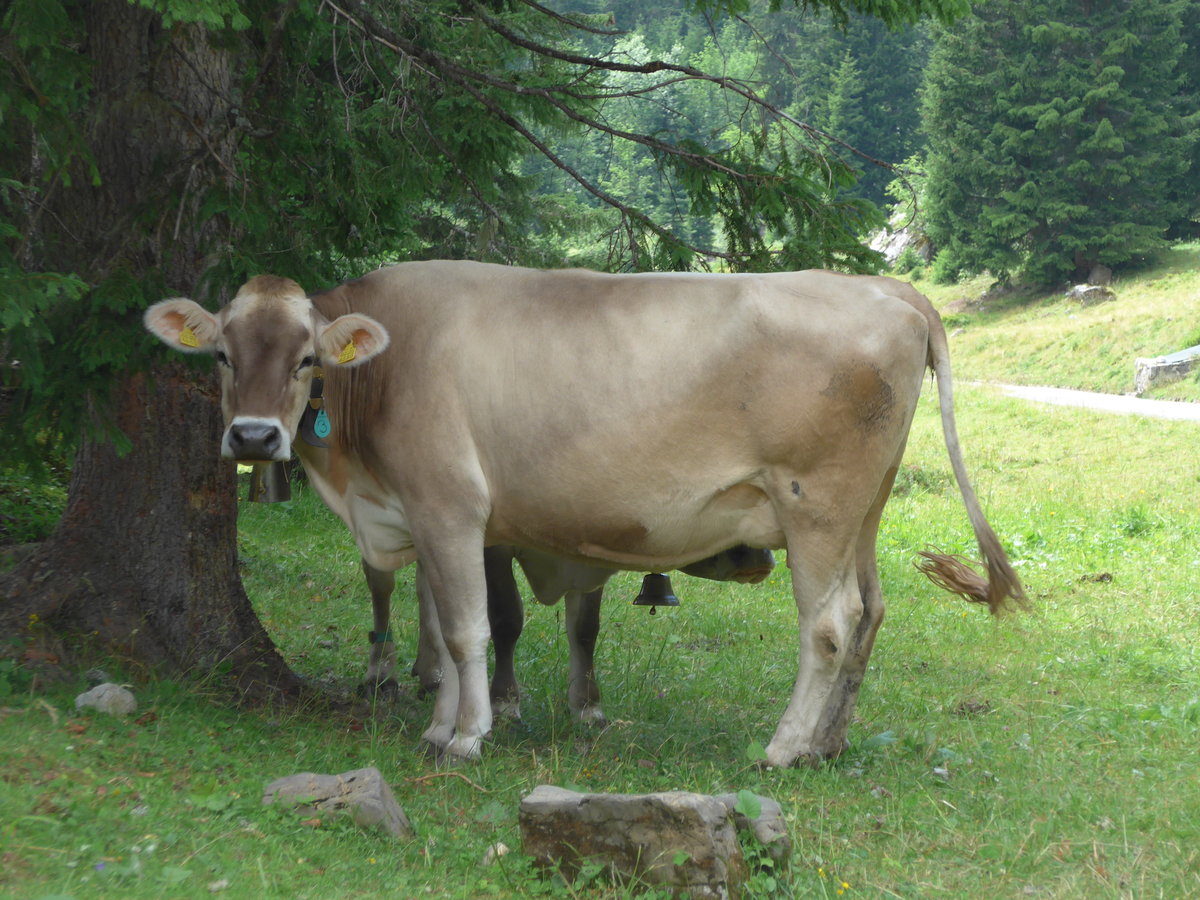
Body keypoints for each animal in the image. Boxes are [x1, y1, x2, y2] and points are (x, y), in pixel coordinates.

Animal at [145, 261, 1025, 768]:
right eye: (222, 354)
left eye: (305, 359)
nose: (252, 436)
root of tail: (890, 289)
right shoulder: (421, 516)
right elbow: (444, 626)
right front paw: (438, 725)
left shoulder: (450, 506)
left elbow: (465, 630)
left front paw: (468, 736)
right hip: (863, 511)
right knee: (872, 611)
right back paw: (828, 743)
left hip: (817, 504)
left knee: (831, 625)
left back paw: (781, 750)